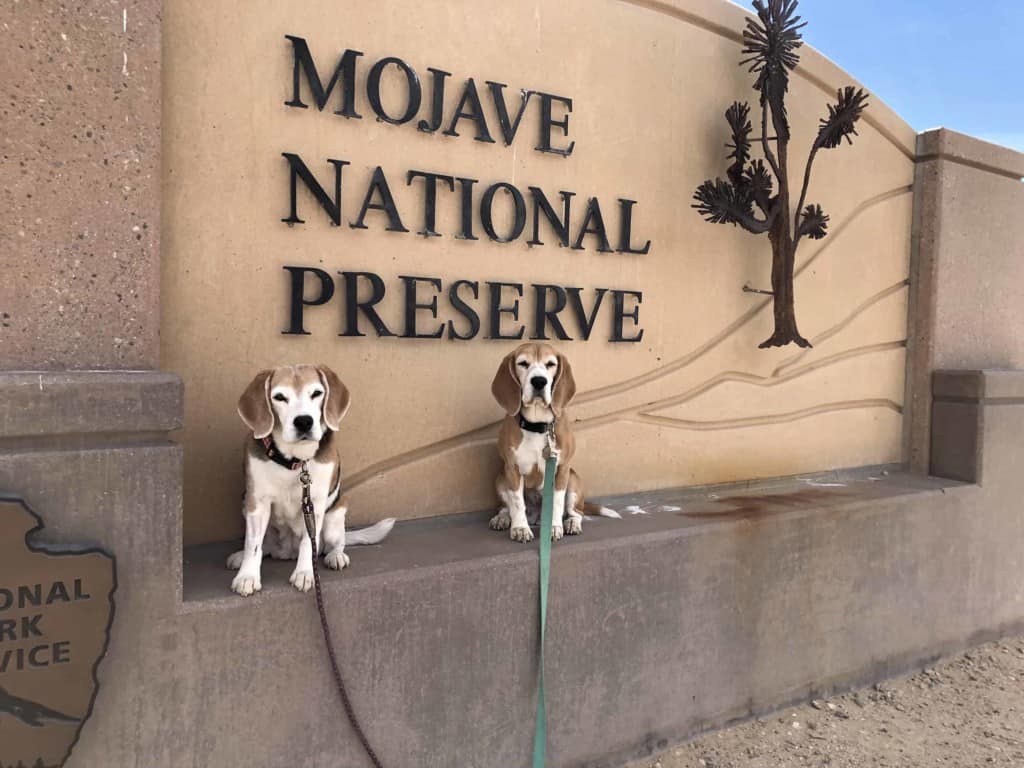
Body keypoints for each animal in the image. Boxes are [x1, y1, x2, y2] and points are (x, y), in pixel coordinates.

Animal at [228, 364, 395, 598]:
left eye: (316, 393)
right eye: (279, 397)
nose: (304, 421)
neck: (295, 460)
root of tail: (287, 552)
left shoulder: (314, 503)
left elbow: (309, 543)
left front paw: (305, 573)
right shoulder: (257, 502)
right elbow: (253, 544)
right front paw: (247, 576)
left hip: (334, 519)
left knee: (335, 543)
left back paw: (336, 556)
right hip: (245, 505)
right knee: (264, 546)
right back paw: (241, 556)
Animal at [487, 342, 614, 540]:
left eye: (550, 364)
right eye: (523, 363)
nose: (539, 381)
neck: (538, 425)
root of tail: (537, 516)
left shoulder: (561, 469)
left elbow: (557, 501)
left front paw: (554, 527)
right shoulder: (512, 468)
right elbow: (517, 502)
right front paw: (520, 528)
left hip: (573, 479)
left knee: (577, 512)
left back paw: (571, 523)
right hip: (500, 477)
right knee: (506, 507)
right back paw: (503, 518)